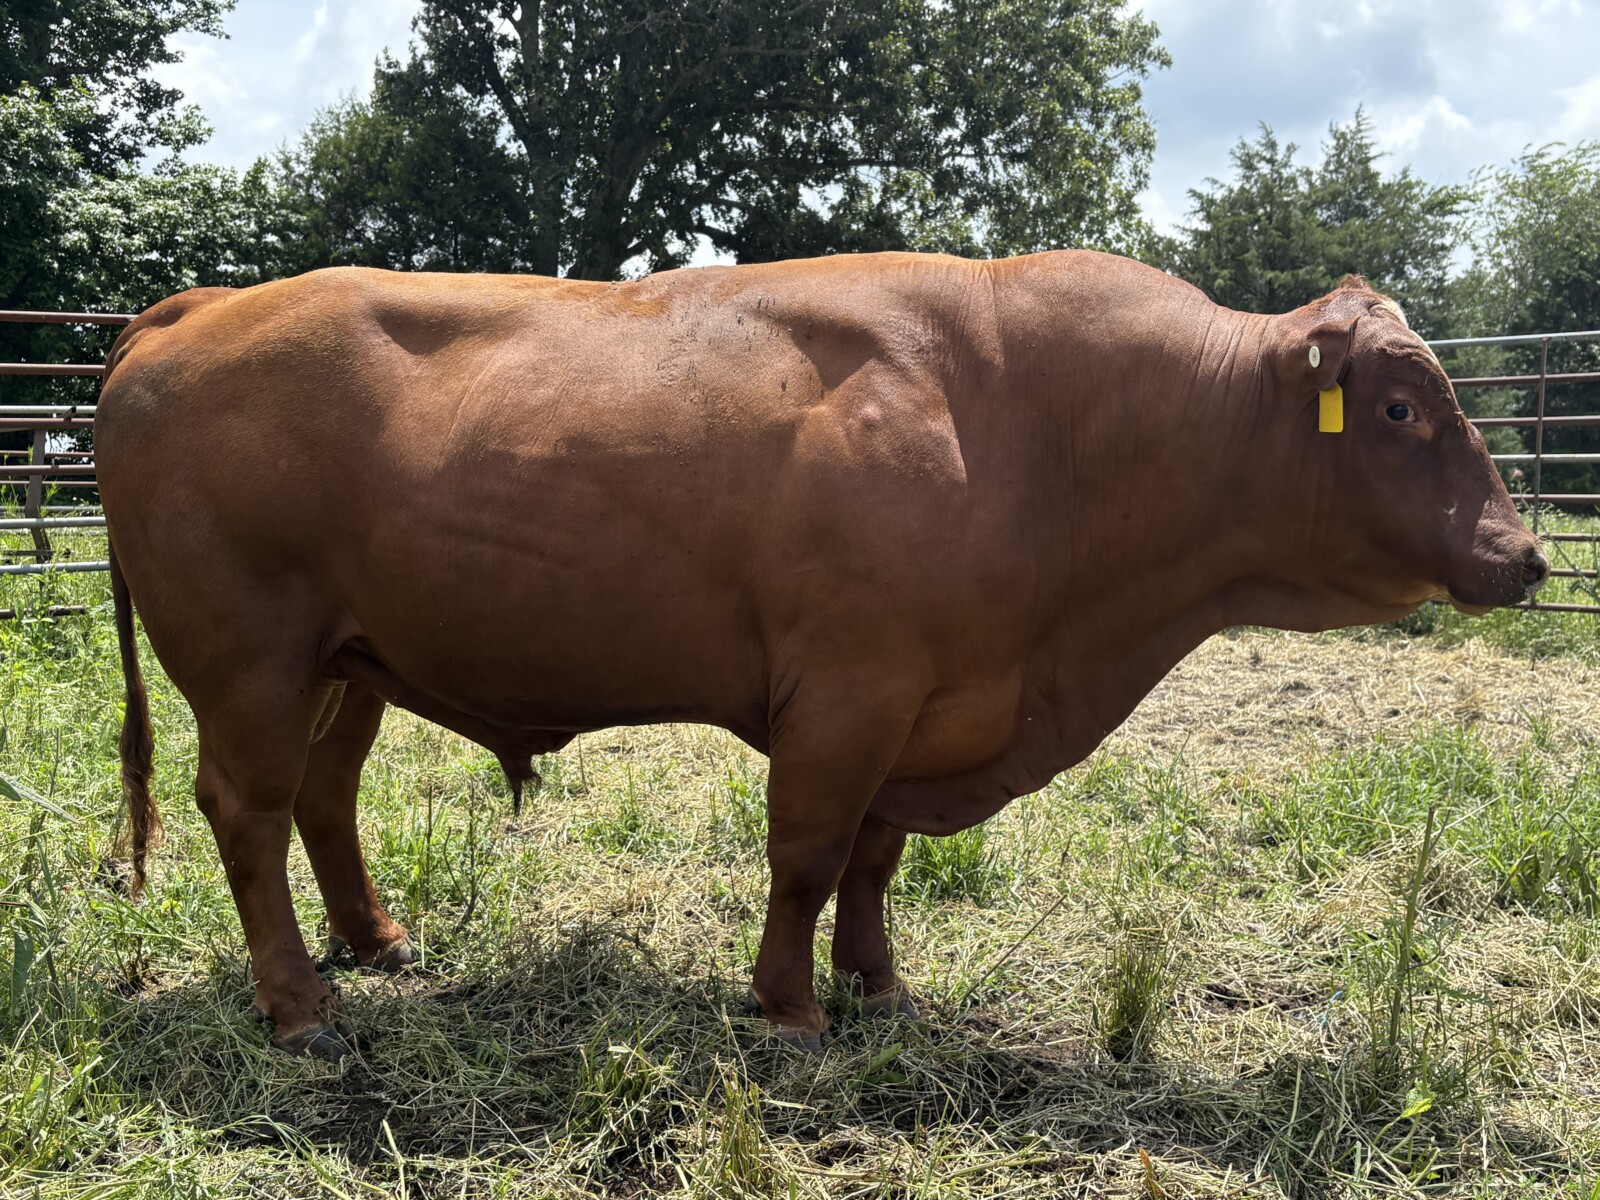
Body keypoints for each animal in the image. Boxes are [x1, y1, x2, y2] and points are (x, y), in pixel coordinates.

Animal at [95, 251, 1546, 1058]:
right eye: (1400, 408)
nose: (1526, 556)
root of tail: (196, 311)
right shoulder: (851, 690)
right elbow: (804, 855)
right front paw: (790, 1011)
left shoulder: (931, 702)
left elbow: (875, 861)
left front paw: (880, 986)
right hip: (250, 660)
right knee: (248, 815)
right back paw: (300, 1008)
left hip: (349, 665)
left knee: (324, 802)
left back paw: (381, 943)